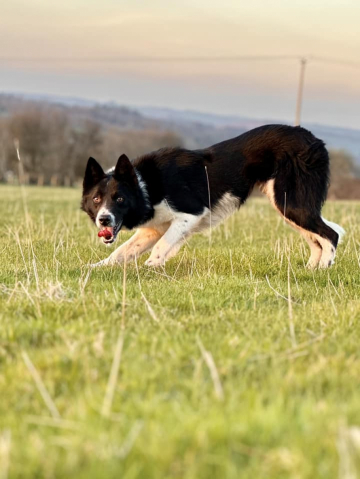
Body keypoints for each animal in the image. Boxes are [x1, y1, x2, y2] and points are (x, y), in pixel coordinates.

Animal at [80, 124, 344, 270]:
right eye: (96, 200)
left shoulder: (190, 213)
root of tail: (314, 139)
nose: (104, 220)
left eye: (119, 199)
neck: (146, 185)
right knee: (317, 239)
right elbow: (121, 252)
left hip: (291, 203)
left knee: (331, 234)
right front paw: (96, 268)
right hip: (288, 208)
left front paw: (152, 267)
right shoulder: (153, 229)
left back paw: (324, 269)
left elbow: (163, 245)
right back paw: (309, 270)